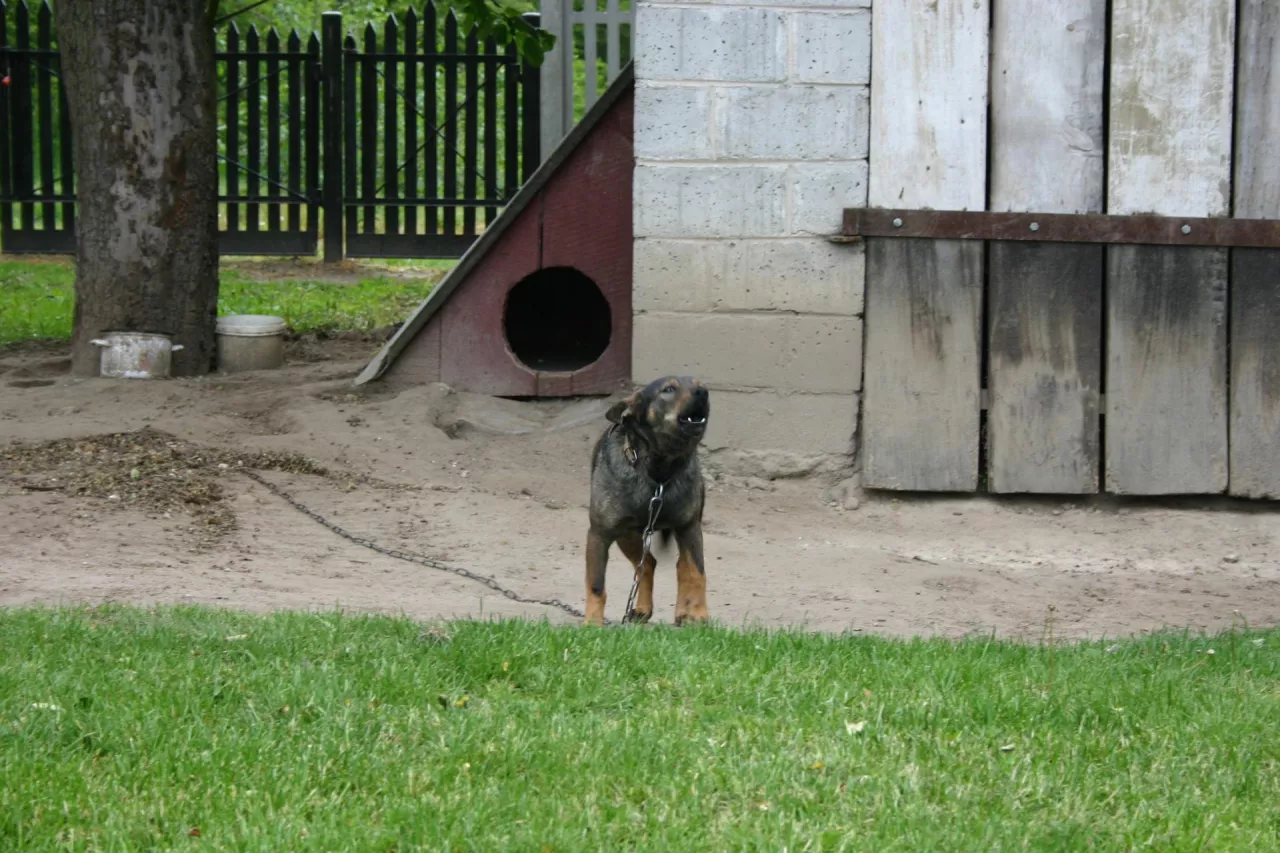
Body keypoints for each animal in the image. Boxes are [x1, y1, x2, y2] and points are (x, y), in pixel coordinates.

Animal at [586, 376, 711, 625]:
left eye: (700, 384)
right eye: (669, 389)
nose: (703, 392)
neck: (660, 471)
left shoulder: (689, 527)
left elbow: (697, 572)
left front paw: (700, 614)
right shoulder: (599, 534)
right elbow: (596, 586)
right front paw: (592, 624)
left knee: (679, 566)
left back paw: (682, 611)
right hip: (627, 536)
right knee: (646, 565)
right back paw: (644, 609)